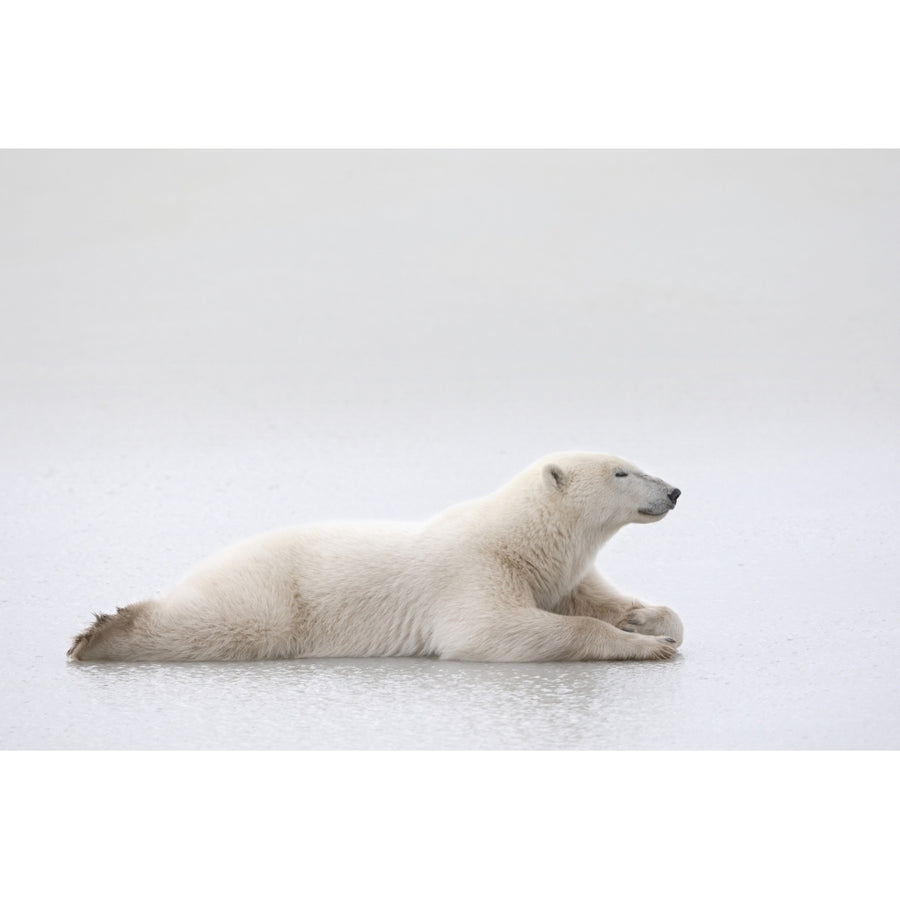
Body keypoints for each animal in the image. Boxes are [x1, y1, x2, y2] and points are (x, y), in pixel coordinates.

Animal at [67, 454, 684, 664]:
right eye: (622, 471)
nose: (674, 491)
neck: (524, 539)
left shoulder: (558, 575)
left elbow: (599, 600)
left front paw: (643, 621)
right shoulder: (474, 568)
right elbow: (490, 630)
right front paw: (645, 645)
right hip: (271, 594)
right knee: (225, 625)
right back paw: (103, 633)